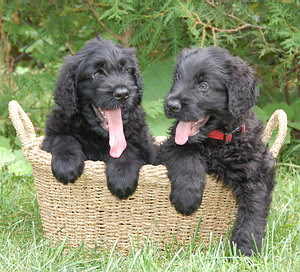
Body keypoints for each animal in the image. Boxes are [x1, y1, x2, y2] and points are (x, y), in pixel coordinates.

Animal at [42, 37, 156, 199]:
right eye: (96, 74)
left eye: (127, 71)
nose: (122, 94)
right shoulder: (52, 133)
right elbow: (63, 138)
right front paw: (66, 164)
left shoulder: (143, 144)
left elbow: (126, 149)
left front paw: (122, 177)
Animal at [159, 45, 276, 256]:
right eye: (177, 79)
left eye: (203, 86)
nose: (171, 105)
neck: (218, 143)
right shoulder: (171, 146)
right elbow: (187, 156)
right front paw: (187, 197)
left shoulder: (258, 170)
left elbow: (253, 209)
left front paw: (245, 250)